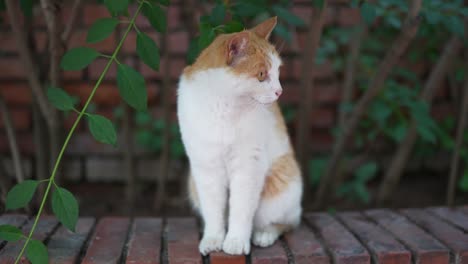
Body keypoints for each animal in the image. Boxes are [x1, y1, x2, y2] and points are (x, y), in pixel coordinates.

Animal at [176, 17, 304, 256]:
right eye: (262, 75)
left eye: (277, 71)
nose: (279, 91)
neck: (224, 106)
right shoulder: (206, 168)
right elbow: (214, 210)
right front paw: (213, 239)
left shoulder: (248, 166)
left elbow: (242, 209)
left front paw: (235, 241)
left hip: (279, 187)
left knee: (286, 223)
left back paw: (264, 235)